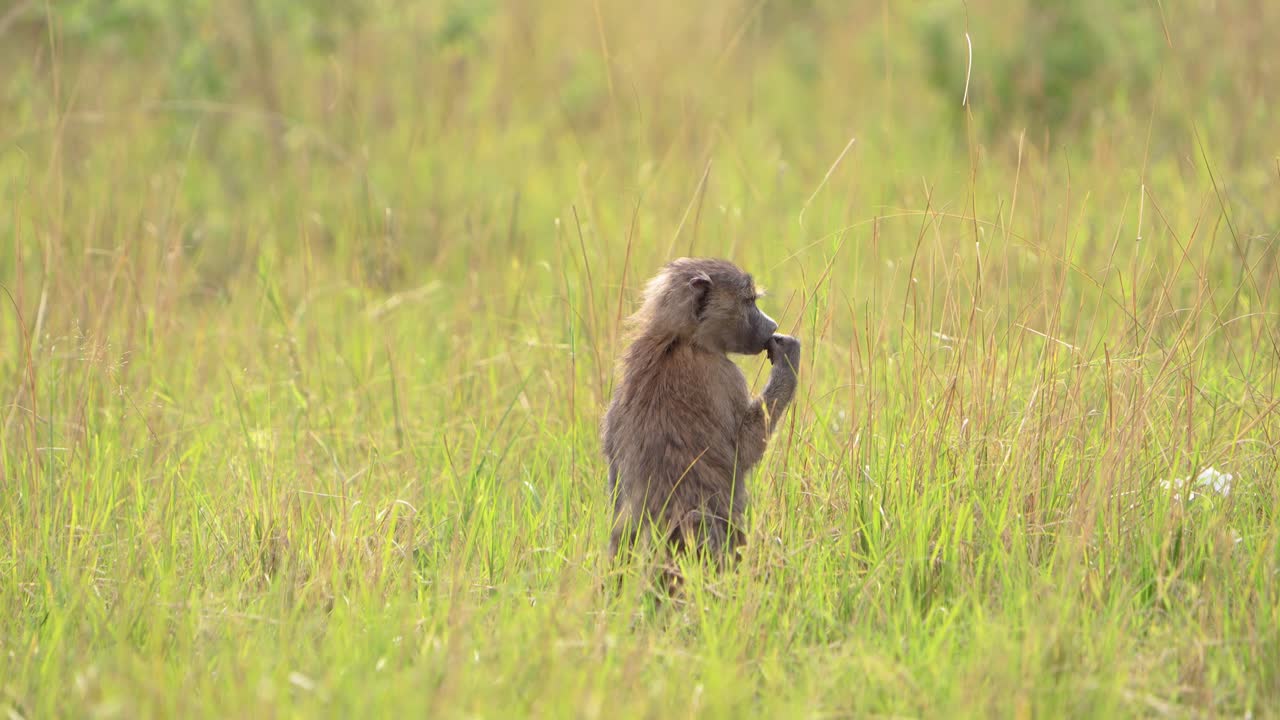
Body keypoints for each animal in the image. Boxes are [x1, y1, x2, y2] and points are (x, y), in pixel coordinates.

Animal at [601, 257, 801, 584]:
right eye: (749, 301)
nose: (772, 326)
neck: (679, 339)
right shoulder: (724, 375)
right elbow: (744, 450)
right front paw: (788, 359)